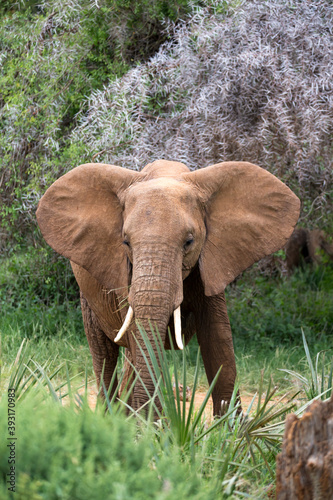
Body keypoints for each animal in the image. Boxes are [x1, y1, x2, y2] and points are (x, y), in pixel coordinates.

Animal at [35, 159, 298, 414]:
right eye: (125, 242)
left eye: (189, 242)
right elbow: (139, 340)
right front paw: (151, 425)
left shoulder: (210, 264)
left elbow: (218, 340)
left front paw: (230, 428)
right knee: (105, 354)